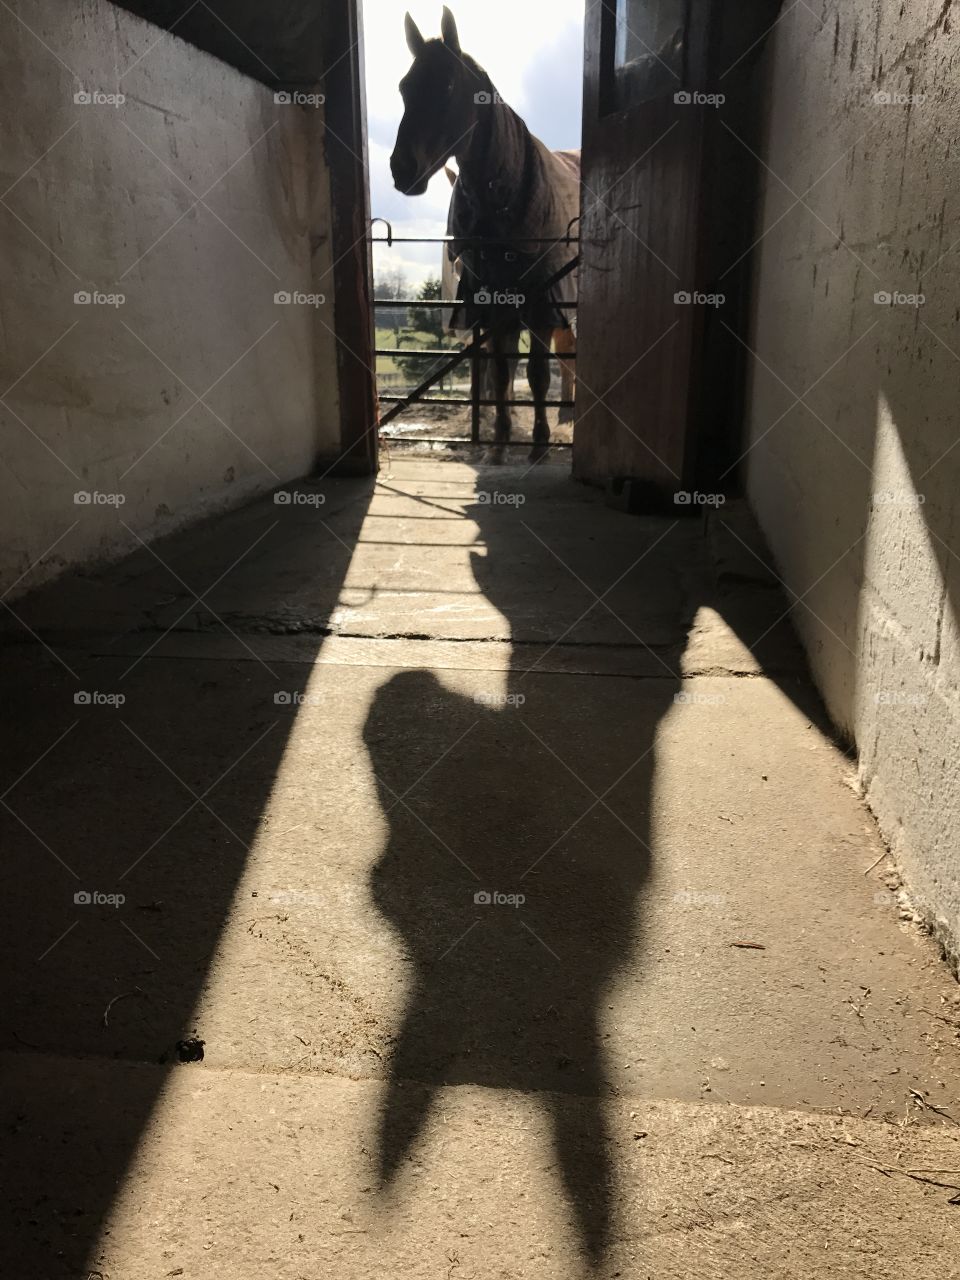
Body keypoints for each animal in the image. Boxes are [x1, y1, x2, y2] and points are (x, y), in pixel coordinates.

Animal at [391, 7, 578, 463]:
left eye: (448, 85)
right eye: (404, 87)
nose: (402, 169)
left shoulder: (541, 299)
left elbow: (537, 374)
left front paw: (539, 445)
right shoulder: (493, 302)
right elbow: (500, 371)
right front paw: (498, 442)